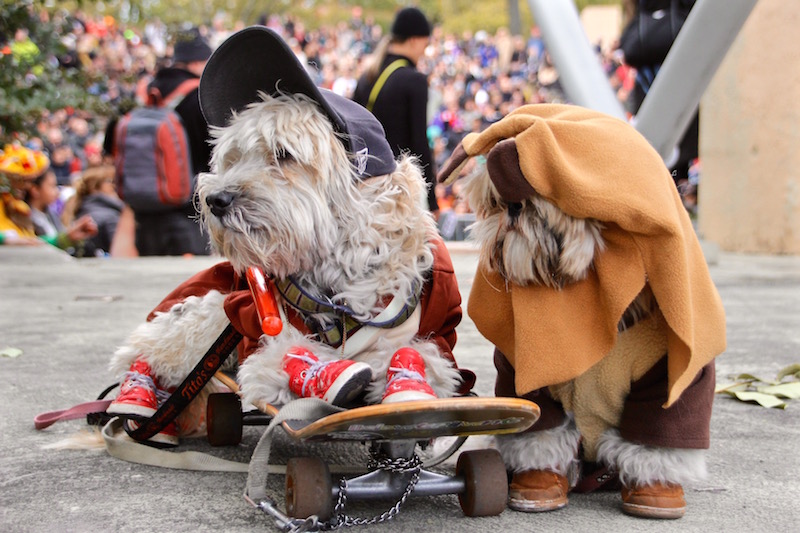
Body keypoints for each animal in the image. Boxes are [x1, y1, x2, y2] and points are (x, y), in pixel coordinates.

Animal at [440, 103, 728, 516]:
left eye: (537, 197)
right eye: (494, 202)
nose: (512, 207)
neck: (584, 297)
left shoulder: (670, 375)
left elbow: (656, 433)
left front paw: (654, 484)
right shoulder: (524, 369)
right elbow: (541, 434)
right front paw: (538, 478)